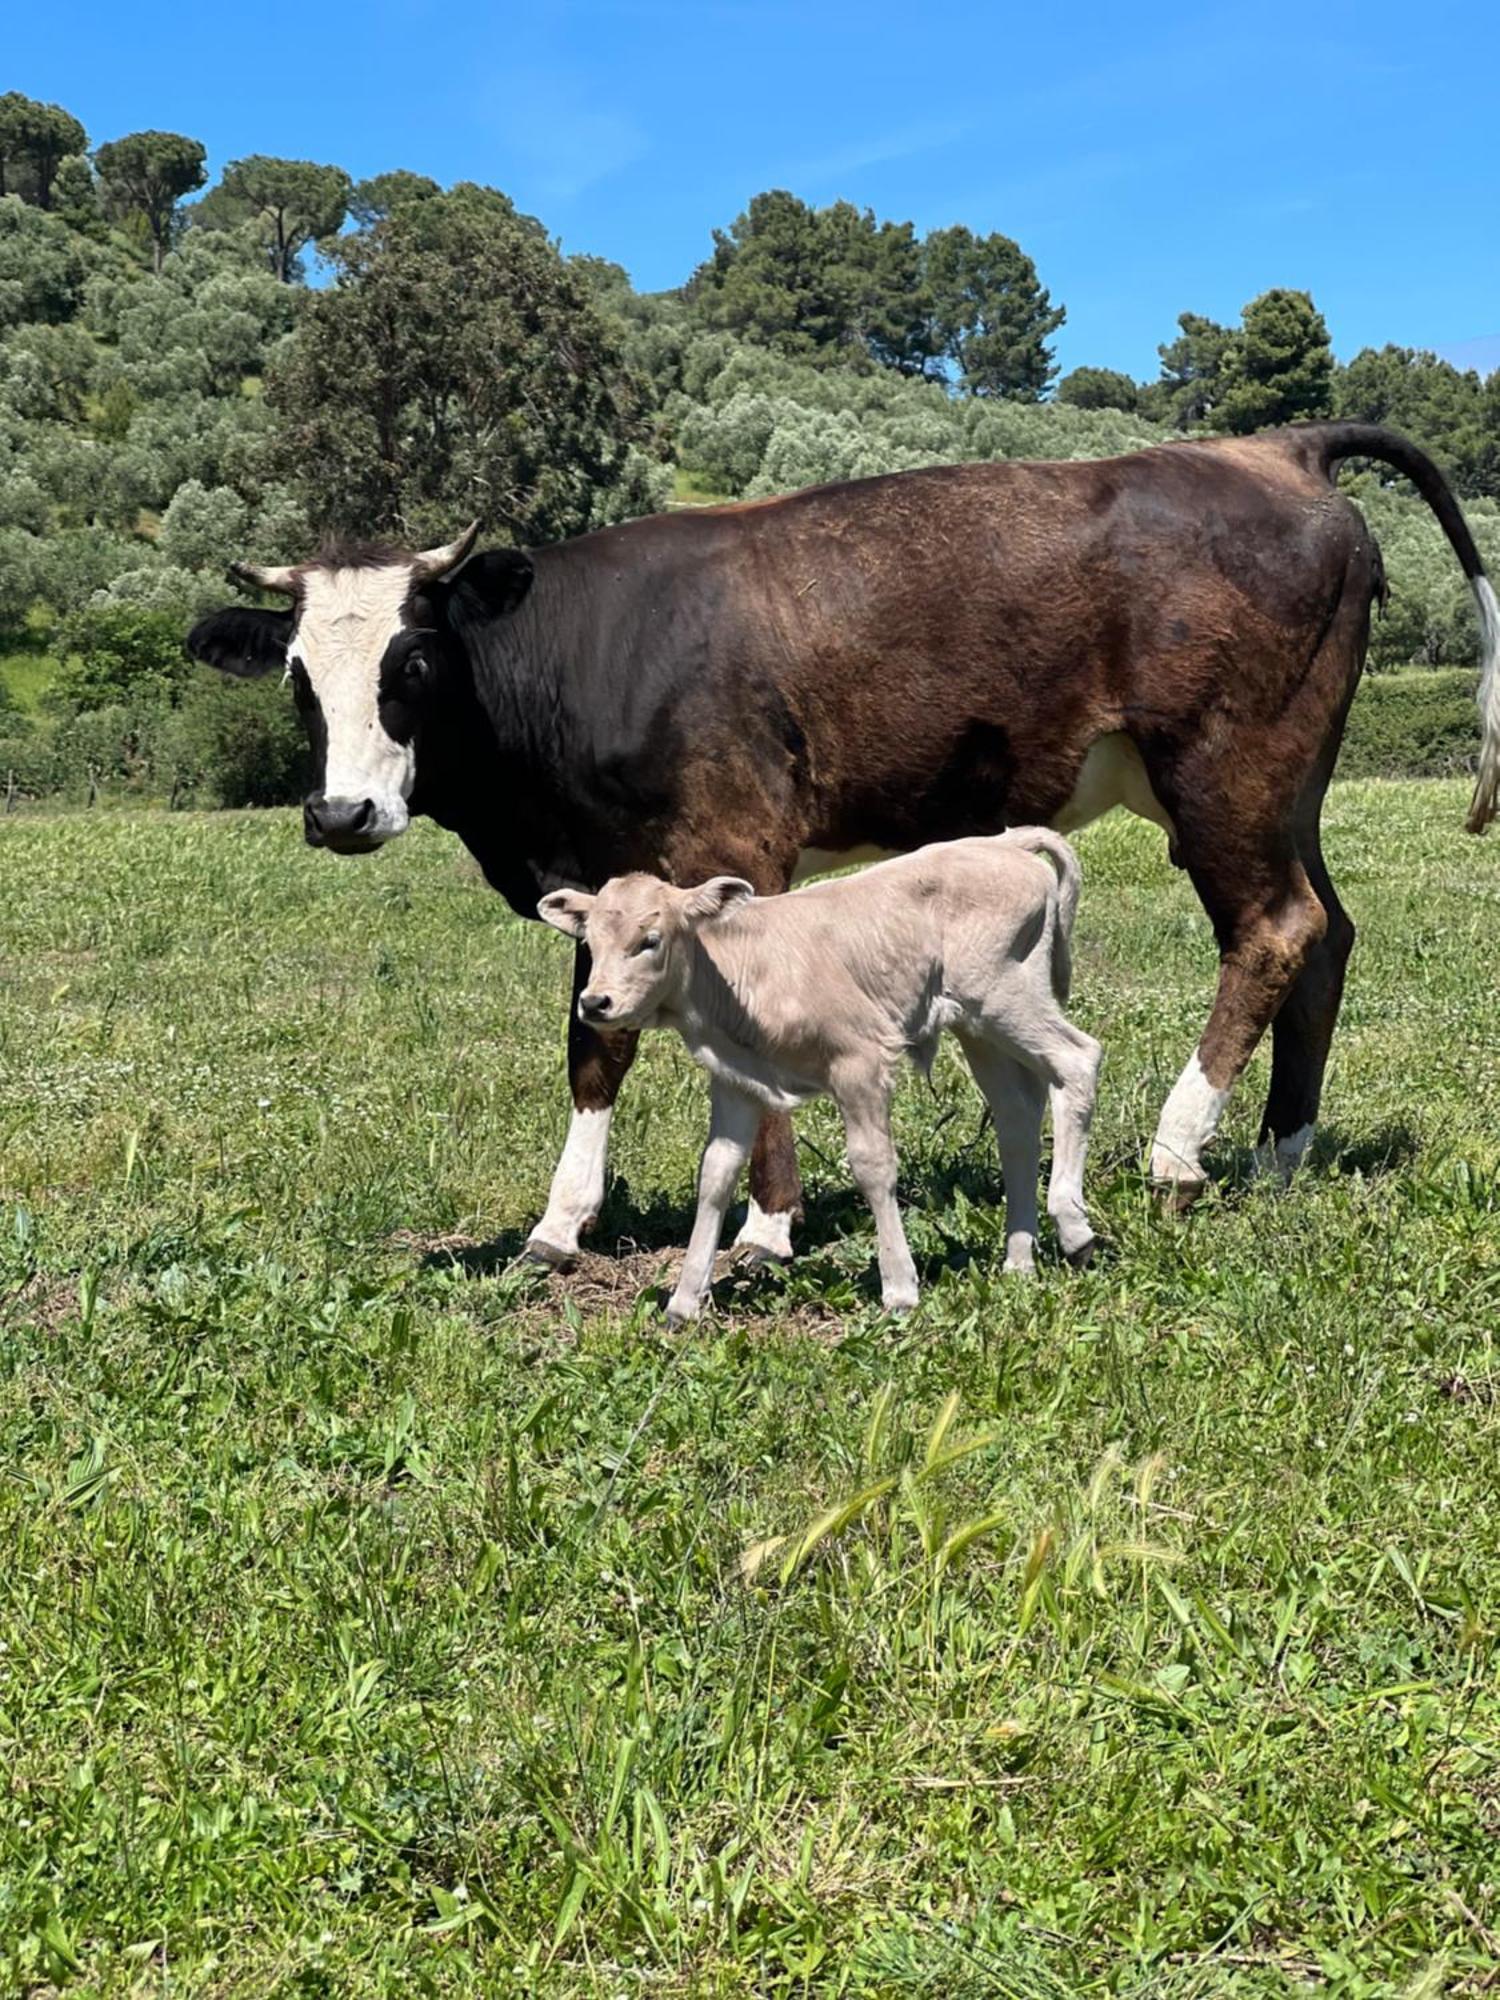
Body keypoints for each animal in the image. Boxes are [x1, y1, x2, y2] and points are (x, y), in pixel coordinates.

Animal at [185, 422, 1500, 1264]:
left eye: (412, 661)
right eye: (297, 675)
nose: (340, 813)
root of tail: (1273, 445)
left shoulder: (738, 837)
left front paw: (767, 1226)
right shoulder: (603, 882)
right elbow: (591, 1047)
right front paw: (562, 1219)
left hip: (1225, 767)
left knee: (1274, 927)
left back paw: (1181, 1148)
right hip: (1279, 786)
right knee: (1327, 934)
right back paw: (1280, 1150)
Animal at [536, 832, 1096, 1328]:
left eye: (649, 941)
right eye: (590, 942)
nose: (595, 1002)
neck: (741, 972)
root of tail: (1007, 843)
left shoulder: (859, 1061)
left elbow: (872, 1165)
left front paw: (899, 1288)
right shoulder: (736, 1081)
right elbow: (715, 1175)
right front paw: (685, 1300)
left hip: (1005, 995)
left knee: (1077, 1060)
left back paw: (1072, 1226)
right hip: (976, 1022)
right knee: (1017, 1114)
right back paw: (1019, 1259)